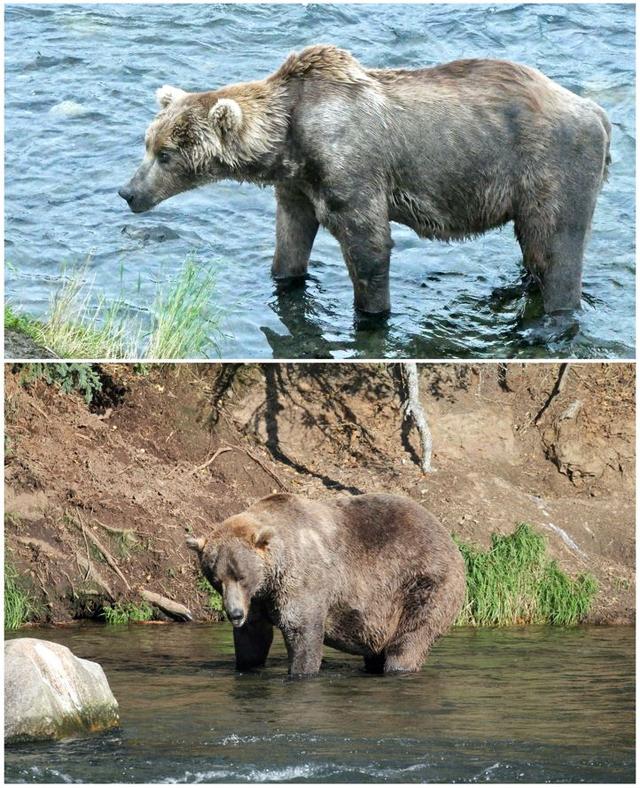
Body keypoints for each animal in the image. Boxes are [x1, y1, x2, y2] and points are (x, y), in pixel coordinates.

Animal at [120, 45, 608, 318]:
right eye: (146, 143)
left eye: (165, 154)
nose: (128, 192)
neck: (290, 140)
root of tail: (593, 109)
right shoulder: (297, 186)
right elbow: (291, 239)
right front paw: (285, 281)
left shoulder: (350, 167)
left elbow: (369, 246)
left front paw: (372, 315)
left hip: (548, 167)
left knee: (555, 248)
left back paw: (551, 320)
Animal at [185, 492, 464, 676]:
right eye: (216, 579)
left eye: (241, 576)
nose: (234, 614)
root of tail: (447, 536)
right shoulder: (258, 600)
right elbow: (253, 637)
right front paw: (247, 664)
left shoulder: (302, 580)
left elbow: (302, 630)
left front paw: (300, 671)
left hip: (423, 583)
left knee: (410, 638)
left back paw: (398, 666)